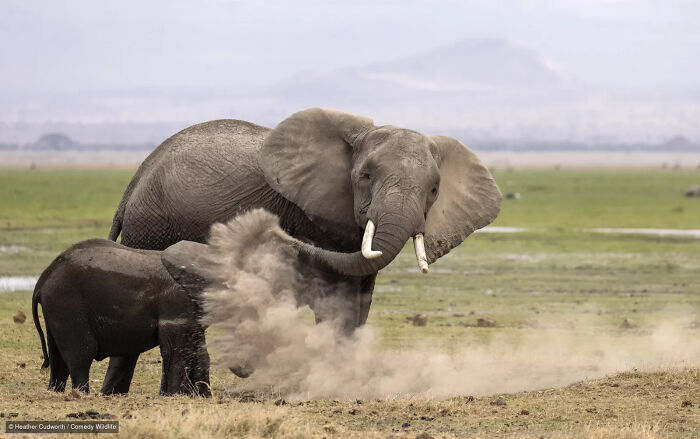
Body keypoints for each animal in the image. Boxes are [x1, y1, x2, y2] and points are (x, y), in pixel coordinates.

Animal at [32, 238, 211, 396]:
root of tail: (43, 279)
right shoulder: (177, 304)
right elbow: (176, 352)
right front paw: (176, 396)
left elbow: (199, 350)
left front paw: (201, 396)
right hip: (66, 302)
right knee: (81, 355)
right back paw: (82, 394)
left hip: (56, 308)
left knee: (58, 360)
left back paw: (55, 392)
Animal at [102, 107, 502, 394]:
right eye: (365, 177)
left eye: (434, 189)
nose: (267, 230)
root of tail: (133, 183)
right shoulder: (316, 215)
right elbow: (336, 293)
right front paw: (335, 384)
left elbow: (361, 296)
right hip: (148, 227)